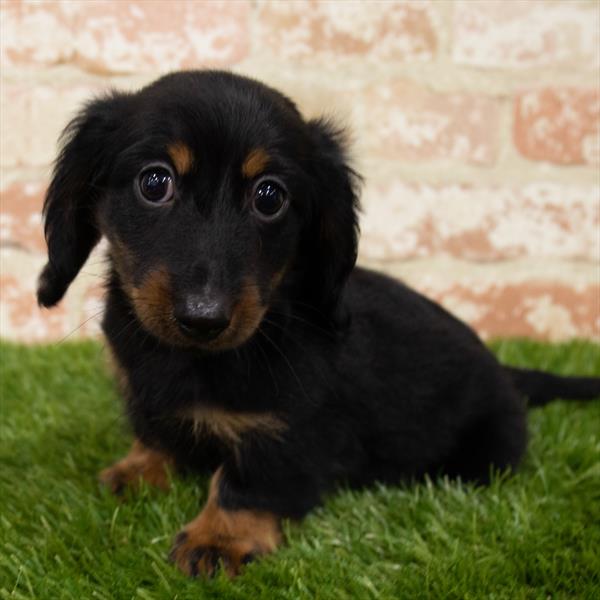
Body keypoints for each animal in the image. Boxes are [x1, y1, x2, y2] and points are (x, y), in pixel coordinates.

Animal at [37, 71, 600, 580]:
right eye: (154, 182)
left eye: (270, 197)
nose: (204, 317)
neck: (195, 359)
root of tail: (506, 373)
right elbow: (155, 433)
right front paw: (140, 468)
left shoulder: (290, 428)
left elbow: (248, 481)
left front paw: (219, 538)